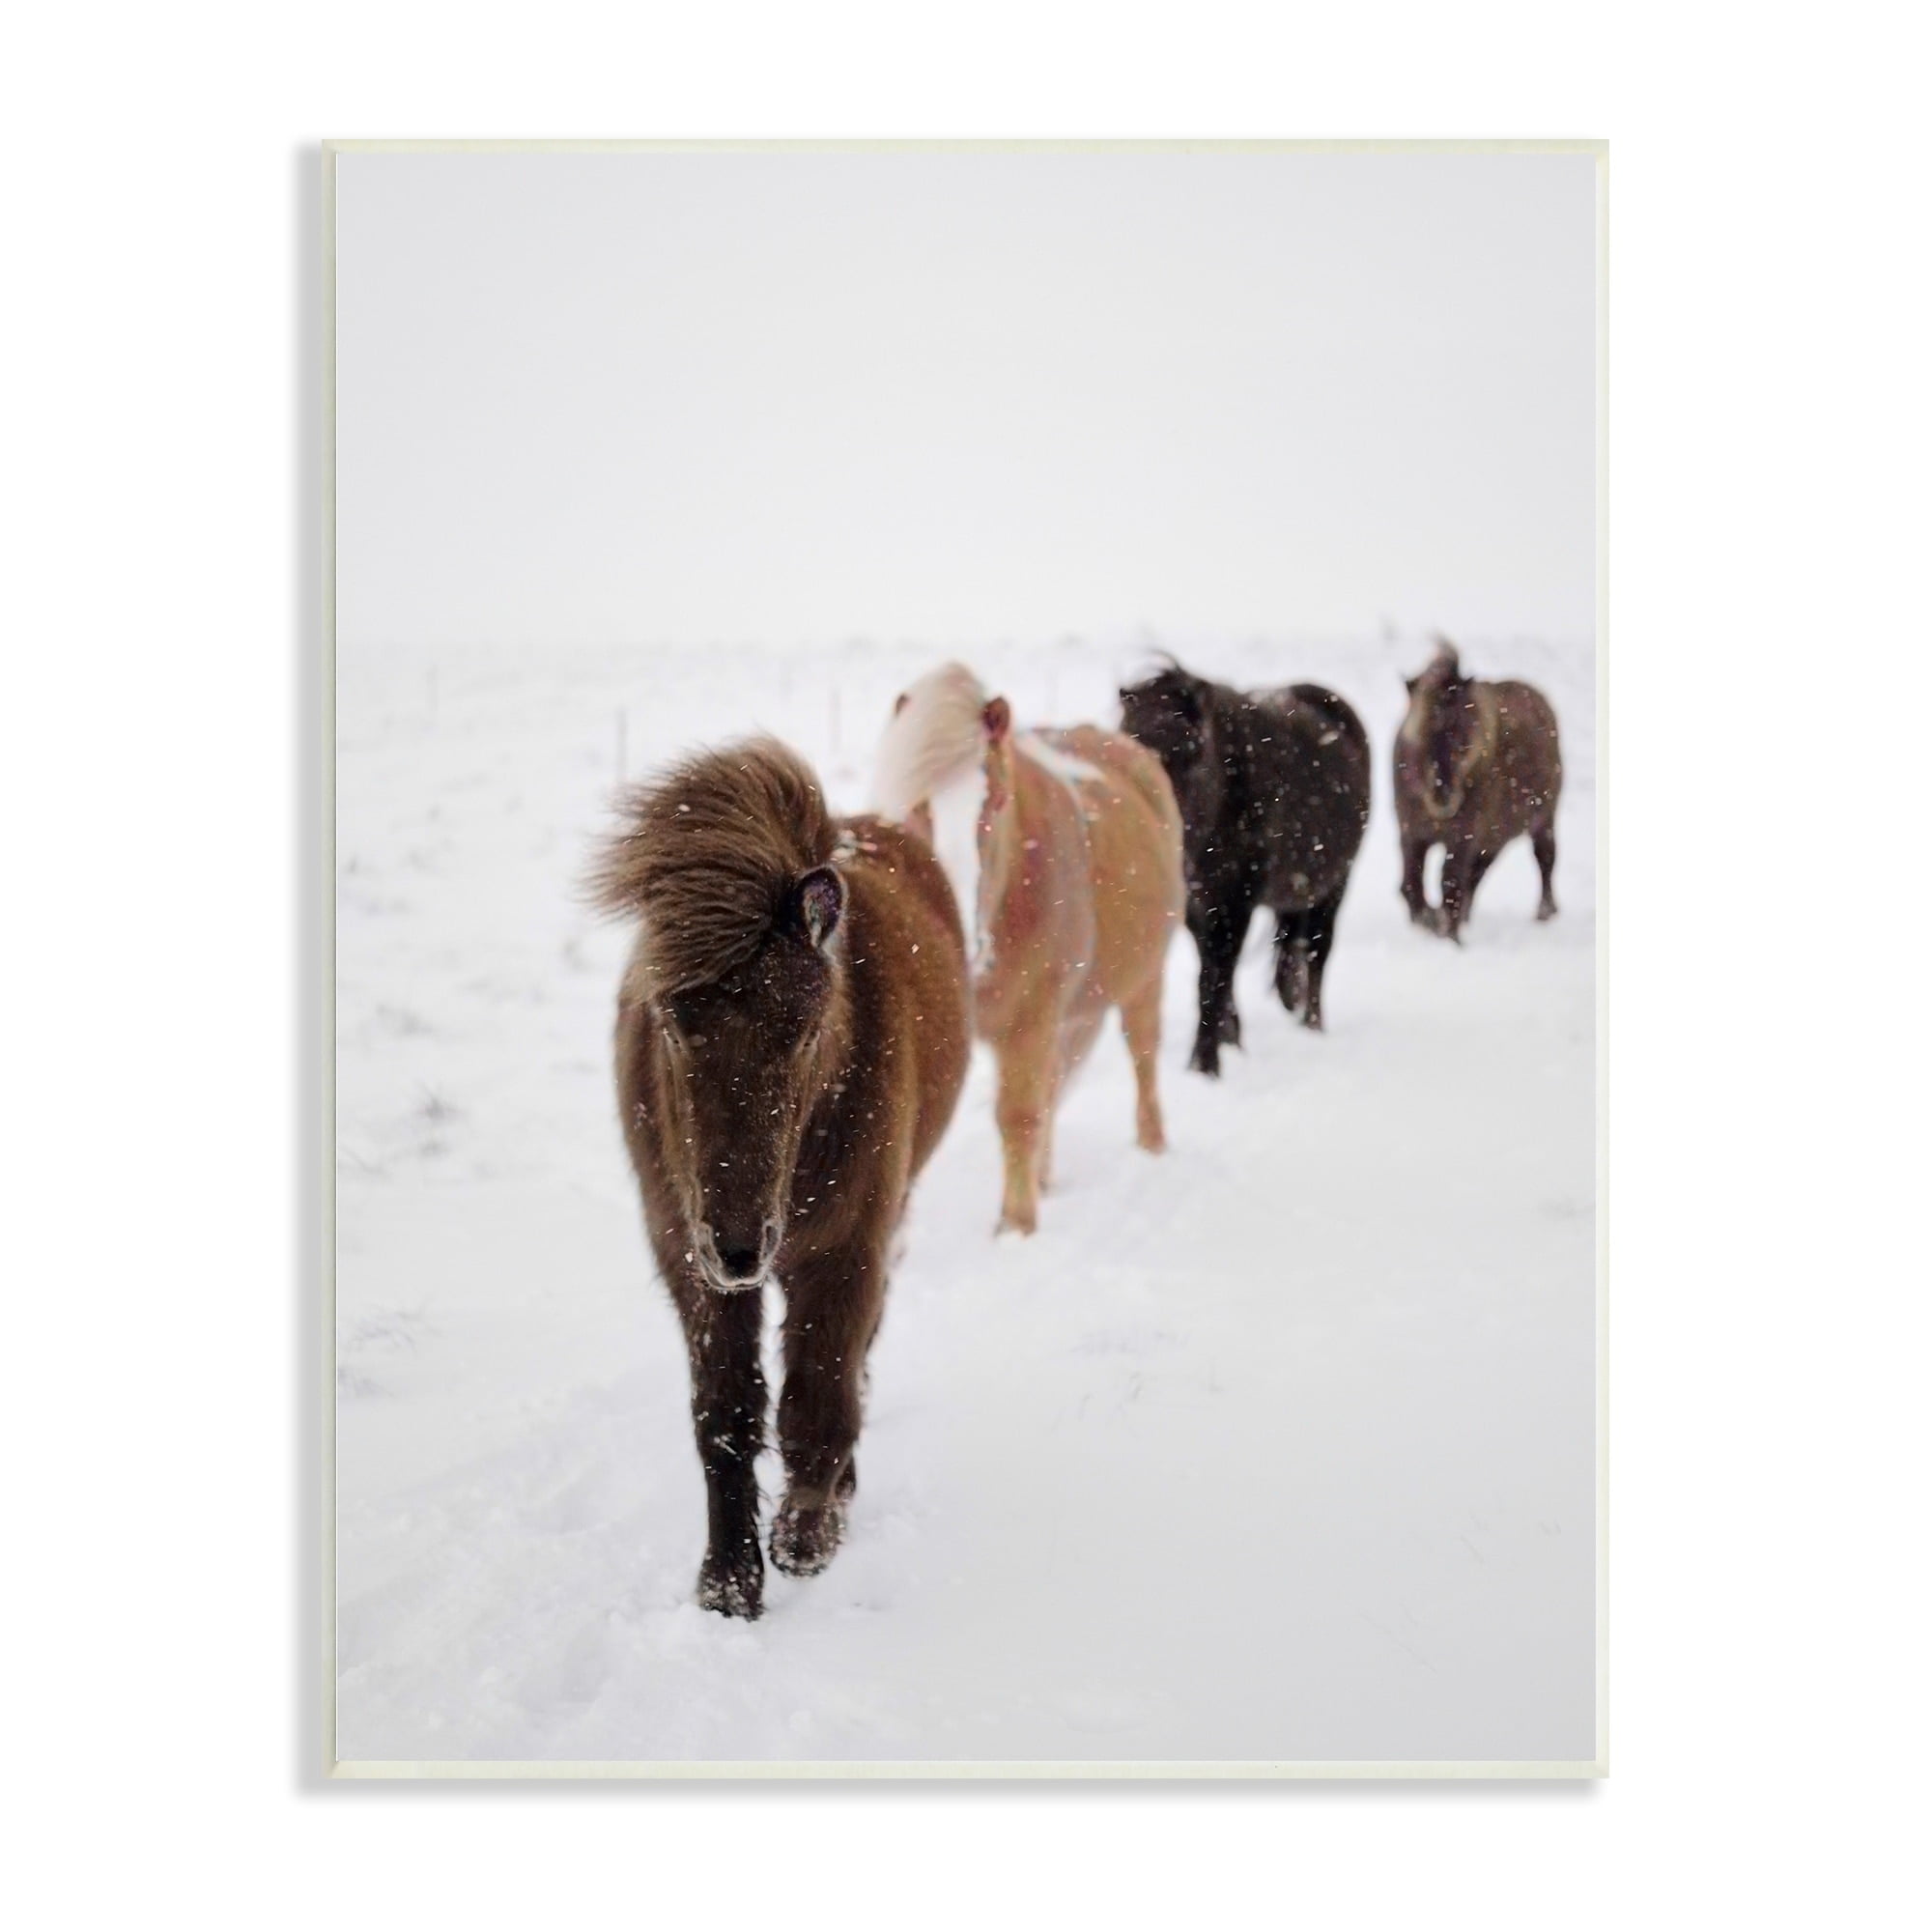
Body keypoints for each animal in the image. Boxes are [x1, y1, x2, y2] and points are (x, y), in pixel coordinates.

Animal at [588, 738, 970, 1619]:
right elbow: (725, 1412)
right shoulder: (688, 1261)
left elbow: (820, 1394)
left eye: (803, 1029)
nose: (736, 1246)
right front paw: (728, 1582)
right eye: (671, 1020)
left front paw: (806, 1535)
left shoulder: (845, 1251)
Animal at [871, 663, 1185, 1237]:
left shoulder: (1029, 1021)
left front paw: (1015, 1227)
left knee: (1142, 1057)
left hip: (1142, 981)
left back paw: (1150, 1147)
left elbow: (1018, 1116)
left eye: (995, 800)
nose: (965, 940)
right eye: (919, 806)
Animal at [1118, 661, 1371, 1075]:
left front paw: (1205, 1065)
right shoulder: (1197, 907)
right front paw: (1229, 1039)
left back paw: (1312, 1026)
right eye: (1129, 742)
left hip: (1335, 885)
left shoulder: (1236, 903)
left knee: (1318, 952)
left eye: (1192, 749)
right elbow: (1213, 970)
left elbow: (1214, 978)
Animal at [1395, 641, 1563, 942]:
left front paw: (1449, 937)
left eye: (1462, 733)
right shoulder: (1411, 833)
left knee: (1545, 860)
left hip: (1543, 819)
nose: (1443, 797)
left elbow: (1450, 883)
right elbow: (1412, 883)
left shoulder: (1462, 838)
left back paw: (1544, 913)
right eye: (1417, 734)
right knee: (1476, 876)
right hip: (1495, 837)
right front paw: (1430, 922)